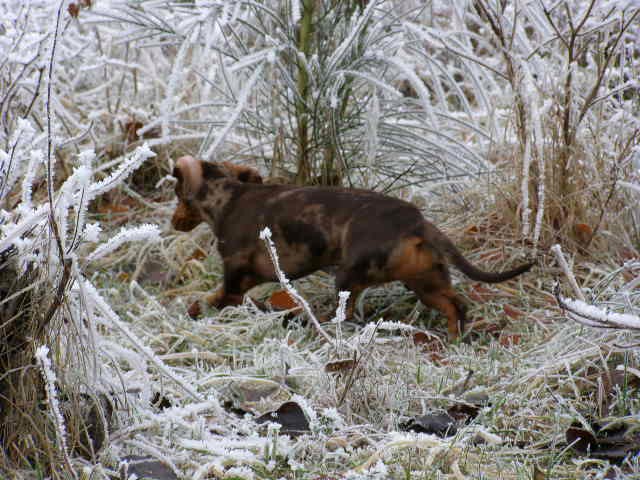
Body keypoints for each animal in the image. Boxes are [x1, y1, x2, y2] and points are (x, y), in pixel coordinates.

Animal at [171, 156, 536, 340]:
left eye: (177, 195)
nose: (174, 222)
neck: (229, 197)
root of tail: (418, 224)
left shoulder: (233, 278)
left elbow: (210, 301)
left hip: (350, 277)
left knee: (341, 315)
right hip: (425, 282)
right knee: (456, 307)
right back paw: (453, 339)